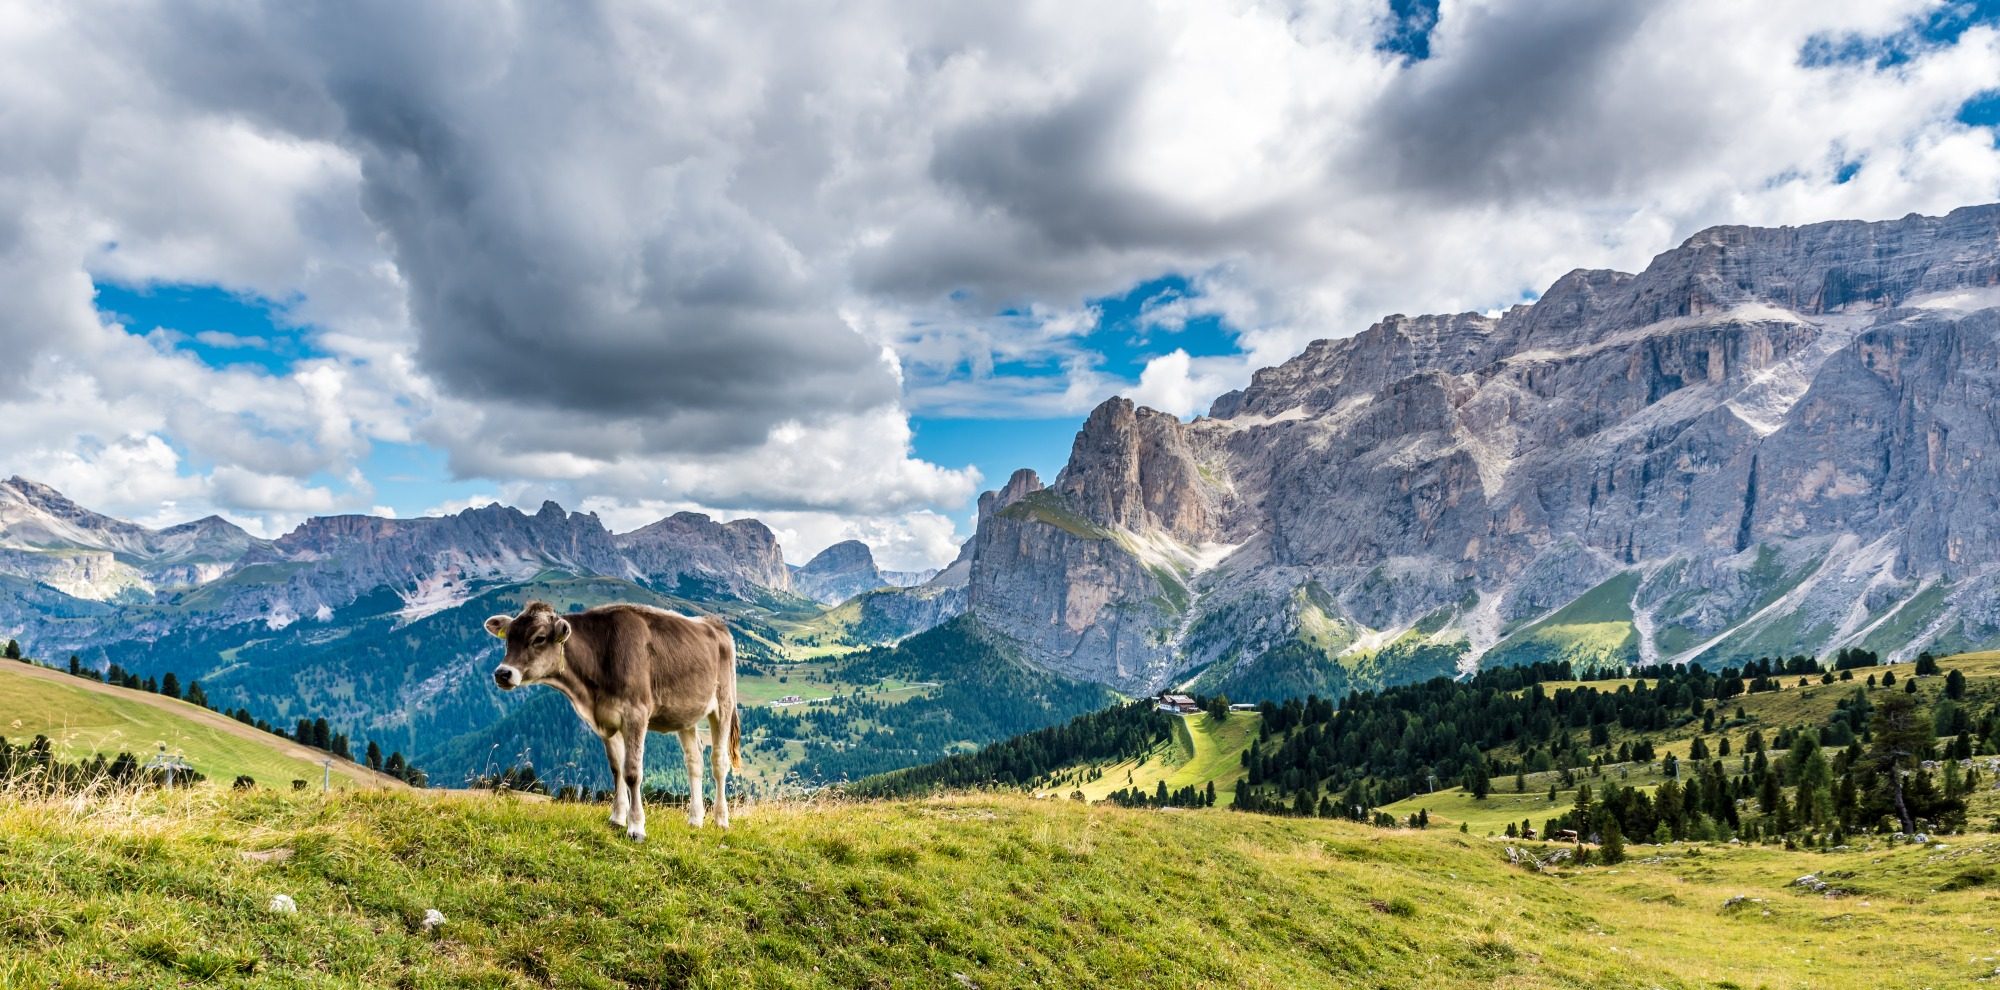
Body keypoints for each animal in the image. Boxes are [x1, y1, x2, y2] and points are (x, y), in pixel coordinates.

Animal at [485, 600, 740, 839]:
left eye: (539, 638)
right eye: (509, 637)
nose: (502, 673)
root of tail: (716, 625)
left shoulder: (636, 714)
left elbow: (632, 772)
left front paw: (636, 827)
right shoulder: (607, 720)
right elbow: (617, 769)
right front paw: (617, 818)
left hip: (723, 704)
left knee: (719, 762)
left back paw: (721, 821)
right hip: (685, 715)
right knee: (694, 761)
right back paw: (695, 820)